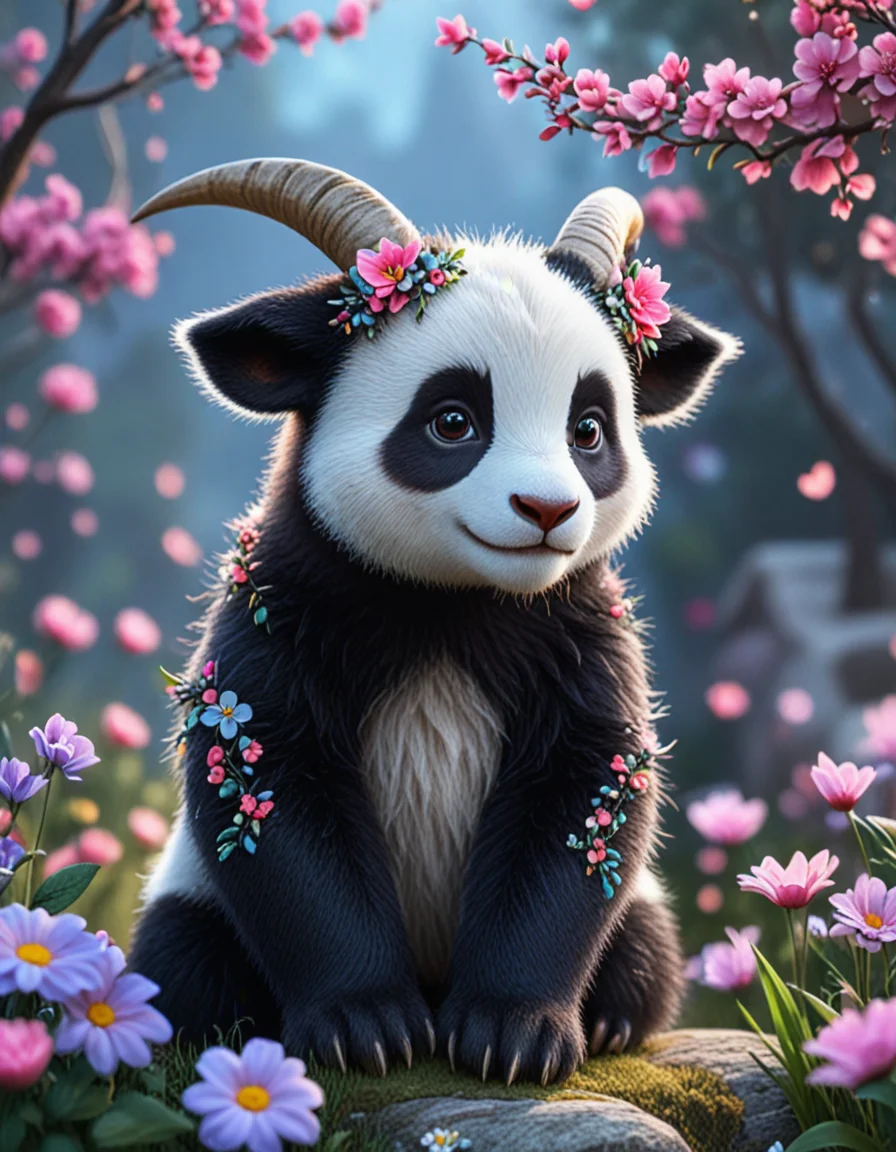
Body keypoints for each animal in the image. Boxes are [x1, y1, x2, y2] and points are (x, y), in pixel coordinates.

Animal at [129, 158, 740, 1086]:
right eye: (454, 421)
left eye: (588, 430)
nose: (548, 510)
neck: (455, 600)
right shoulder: (286, 605)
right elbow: (268, 784)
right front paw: (366, 1028)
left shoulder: (577, 629)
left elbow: (585, 795)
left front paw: (512, 1037)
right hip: (189, 894)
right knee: (180, 961)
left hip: (644, 913)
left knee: (647, 954)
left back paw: (610, 1022)